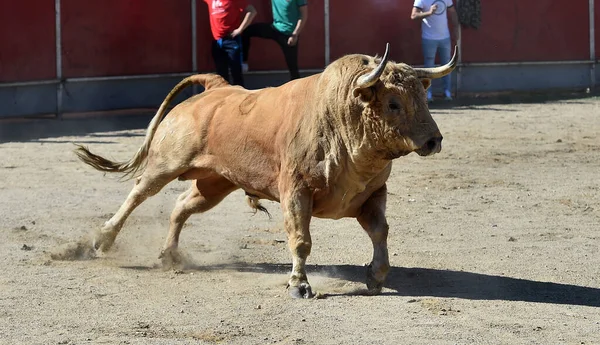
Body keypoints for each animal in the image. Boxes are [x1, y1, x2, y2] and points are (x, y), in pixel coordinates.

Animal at [76, 42, 460, 296]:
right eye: (393, 103)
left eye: (422, 97)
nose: (433, 141)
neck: (339, 118)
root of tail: (216, 87)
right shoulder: (296, 191)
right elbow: (301, 239)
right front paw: (299, 285)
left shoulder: (373, 194)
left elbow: (380, 232)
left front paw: (376, 276)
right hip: (167, 162)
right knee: (139, 193)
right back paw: (101, 239)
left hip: (215, 183)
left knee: (182, 206)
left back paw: (169, 255)